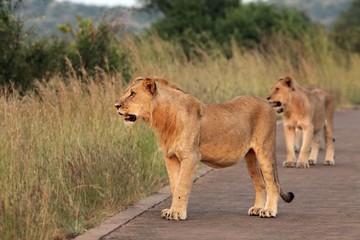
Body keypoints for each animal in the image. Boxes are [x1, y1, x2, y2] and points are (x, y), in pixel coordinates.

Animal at [114, 77, 294, 221]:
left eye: (132, 94)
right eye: (126, 92)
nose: (116, 105)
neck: (163, 118)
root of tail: (266, 102)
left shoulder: (191, 156)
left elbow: (181, 186)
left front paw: (177, 213)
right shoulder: (170, 157)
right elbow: (174, 185)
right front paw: (172, 210)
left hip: (264, 149)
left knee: (272, 183)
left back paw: (269, 211)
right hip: (250, 156)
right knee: (260, 183)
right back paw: (257, 208)